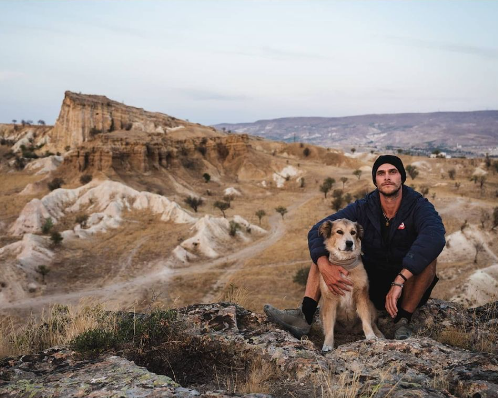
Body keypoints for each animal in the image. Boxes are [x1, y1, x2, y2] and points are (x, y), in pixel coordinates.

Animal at [318, 218, 384, 352]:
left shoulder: (361, 296)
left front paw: (371, 336)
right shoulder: (330, 301)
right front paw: (328, 344)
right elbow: (329, 327)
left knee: (373, 322)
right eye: (339, 231)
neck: (345, 265)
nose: (349, 243)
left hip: (371, 304)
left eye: (353, 232)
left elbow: (366, 320)